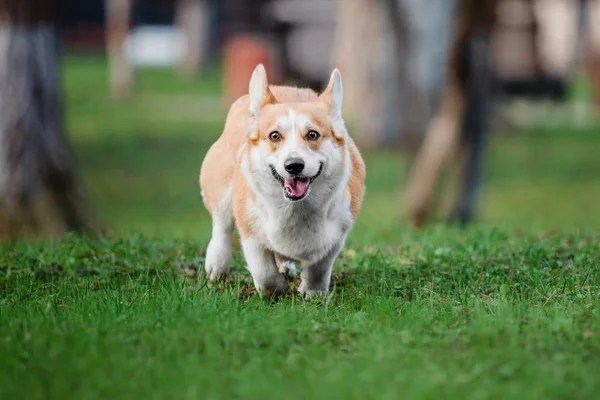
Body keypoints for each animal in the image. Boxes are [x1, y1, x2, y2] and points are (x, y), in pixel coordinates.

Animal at [200, 65, 366, 296]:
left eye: (313, 134)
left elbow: (319, 269)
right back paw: (217, 263)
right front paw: (276, 292)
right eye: (274, 136)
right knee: (221, 225)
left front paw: (312, 293)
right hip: (221, 190)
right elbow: (264, 273)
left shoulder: (335, 238)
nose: (294, 166)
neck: (294, 208)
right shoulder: (251, 235)